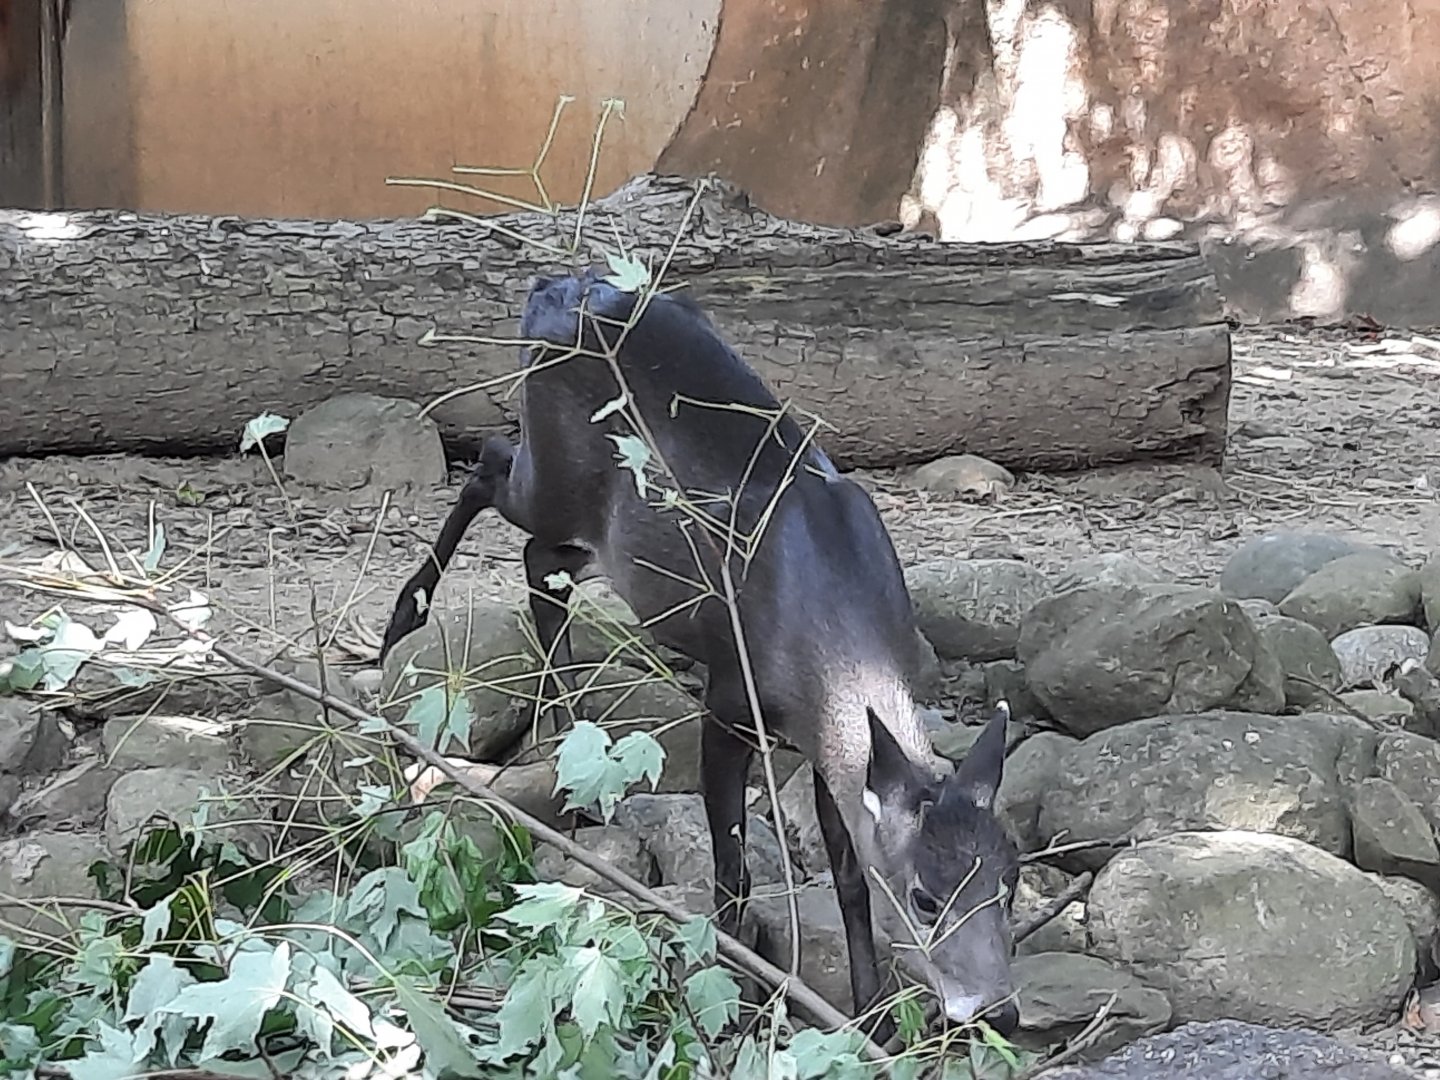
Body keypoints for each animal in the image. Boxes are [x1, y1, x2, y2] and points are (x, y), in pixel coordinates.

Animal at [380, 268, 1022, 1039]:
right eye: (926, 897)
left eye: (1011, 882)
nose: (999, 1011)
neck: (831, 632)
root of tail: (557, 290)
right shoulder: (730, 697)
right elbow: (731, 867)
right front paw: (737, 998)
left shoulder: (831, 743)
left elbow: (849, 874)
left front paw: (870, 1019)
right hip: (551, 474)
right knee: (487, 466)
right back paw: (404, 618)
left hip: (600, 531)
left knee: (540, 556)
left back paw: (564, 722)